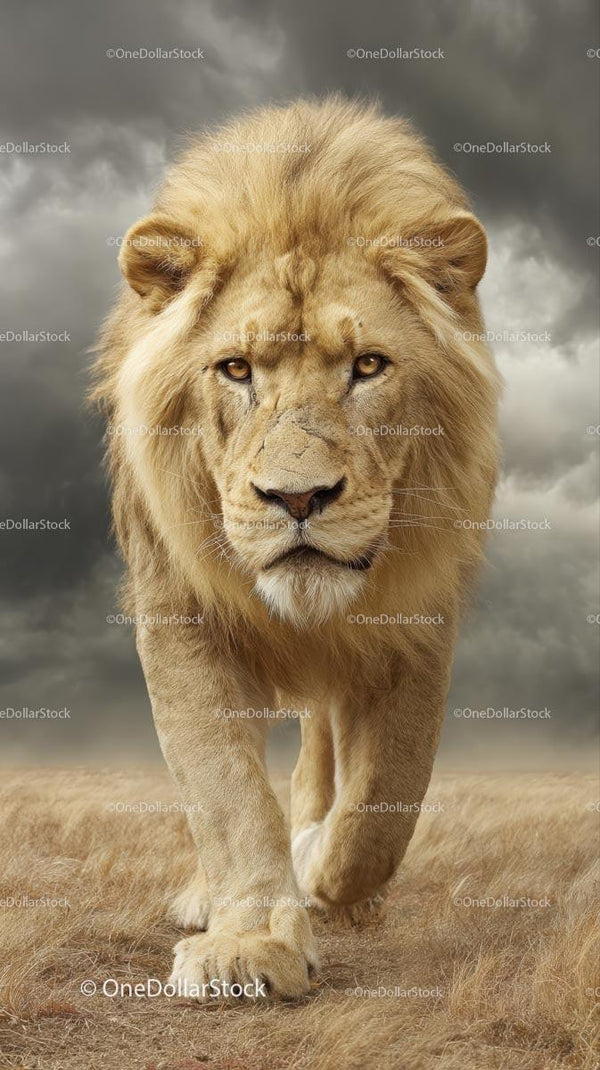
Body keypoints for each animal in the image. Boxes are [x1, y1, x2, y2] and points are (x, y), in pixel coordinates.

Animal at [93, 96, 500, 1000]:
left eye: (370, 365)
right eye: (236, 369)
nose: (298, 498)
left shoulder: (418, 623)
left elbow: (387, 796)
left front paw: (319, 871)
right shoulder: (177, 611)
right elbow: (224, 789)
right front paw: (248, 942)